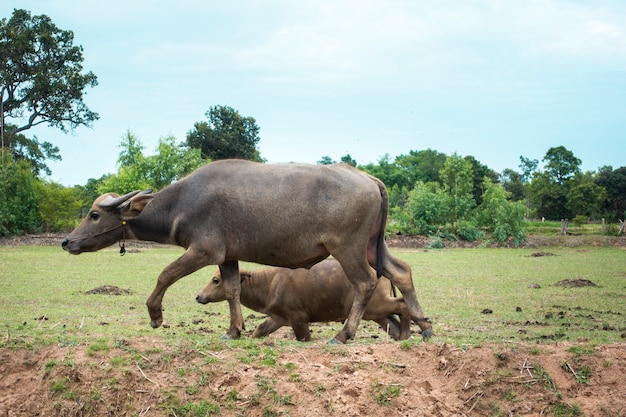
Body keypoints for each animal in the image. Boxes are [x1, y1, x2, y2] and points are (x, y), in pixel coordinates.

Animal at [197, 258, 412, 340]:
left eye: (216, 280)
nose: (199, 296)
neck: (270, 283)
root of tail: (381, 272)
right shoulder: (278, 318)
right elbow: (260, 329)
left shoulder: (298, 318)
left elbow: (304, 337)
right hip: (376, 312)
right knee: (392, 323)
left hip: (376, 305)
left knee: (402, 304)